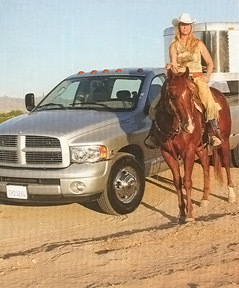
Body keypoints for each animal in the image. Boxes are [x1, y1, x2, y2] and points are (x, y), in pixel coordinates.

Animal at [154, 67, 236, 223]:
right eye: (172, 95)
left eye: (191, 94)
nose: (189, 126)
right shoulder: (167, 153)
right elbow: (177, 182)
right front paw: (181, 213)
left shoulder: (188, 151)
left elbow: (187, 181)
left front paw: (190, 215)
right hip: (200, 147)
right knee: (205, 165)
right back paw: (205, 198)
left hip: (224, 141)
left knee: (227, 163)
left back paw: (231, 195)